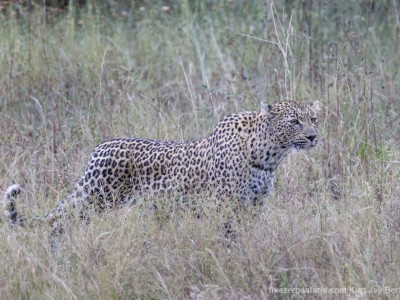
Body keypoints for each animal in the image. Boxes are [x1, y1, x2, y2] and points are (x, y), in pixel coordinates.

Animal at [3, 99, 320, 245]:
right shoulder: (223, 206)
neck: (269, 155)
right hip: (96, 196)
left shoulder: (253, 205)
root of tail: (99, 147)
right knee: (60, 221)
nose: (314, 136)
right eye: (294, 121)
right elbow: (227, 236)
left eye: (314, 119)